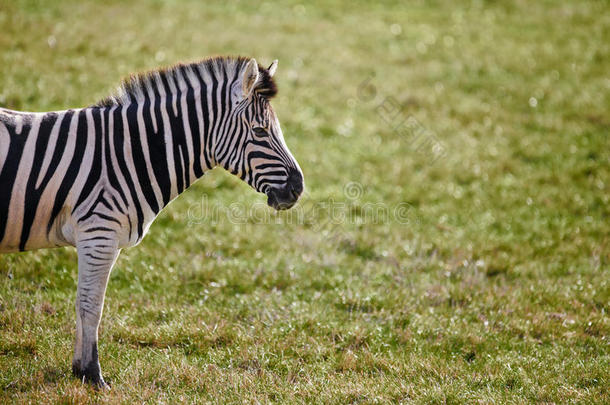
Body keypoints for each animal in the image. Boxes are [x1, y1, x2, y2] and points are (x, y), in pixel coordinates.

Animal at [0, 56, 302, 388]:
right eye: (260, 132)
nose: (298, 188)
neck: (129, 154)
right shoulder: (98, 234)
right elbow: (91, 304)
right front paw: (92, 375)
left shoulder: (100, 239)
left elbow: (83, 302)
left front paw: (79, 370)